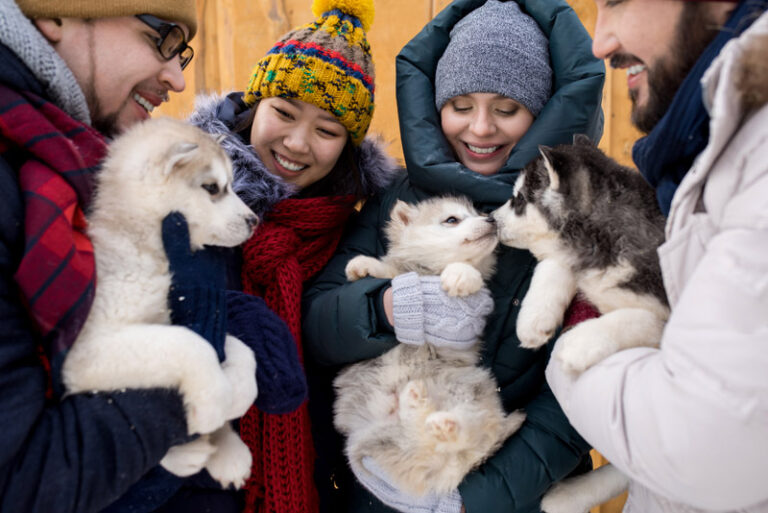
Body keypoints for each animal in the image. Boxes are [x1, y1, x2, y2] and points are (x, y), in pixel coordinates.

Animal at [61, 117, 260, 488]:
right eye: (212, 187)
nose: (254, 221)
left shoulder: (183, 316)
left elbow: (239, 349)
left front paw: (236, 400)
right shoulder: (87, 352)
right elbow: (191, 345)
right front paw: (212, 405)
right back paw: (186, 453)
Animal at [336, 196, 528, 496]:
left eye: (477, 213)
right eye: (452, 219)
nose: (491, 219)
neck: (432, 272)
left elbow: (469, 274)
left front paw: (461, 275)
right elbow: (392, 270)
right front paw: (363, 265)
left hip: (469, 390)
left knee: (461, 440)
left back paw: (438, 420)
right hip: (377, 439)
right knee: (422, 447)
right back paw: (418, 407)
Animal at [492, 135, 664, 512]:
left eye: (519, 199)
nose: (489, 219)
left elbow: (637, 317)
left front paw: (577, 343)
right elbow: (556, 263)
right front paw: (535, 318)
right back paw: (568, 495)